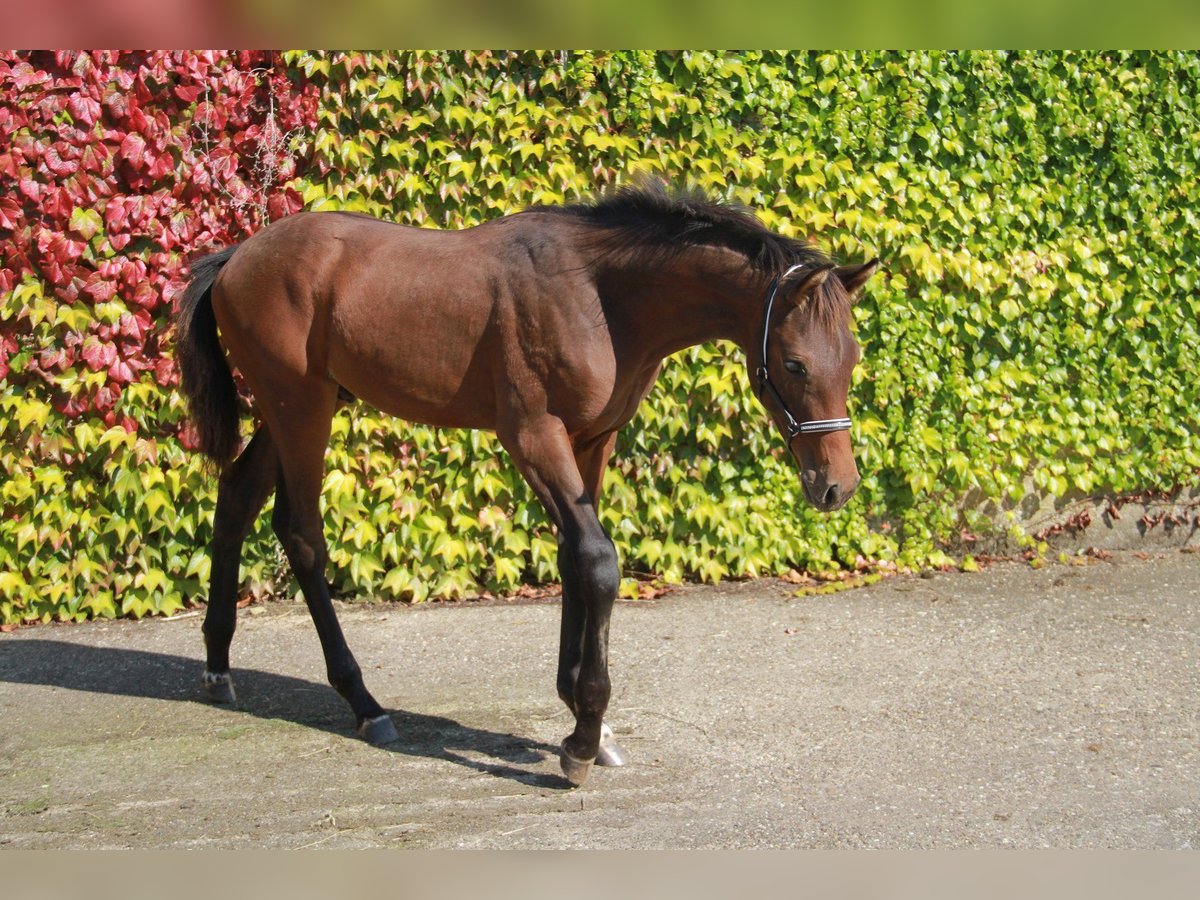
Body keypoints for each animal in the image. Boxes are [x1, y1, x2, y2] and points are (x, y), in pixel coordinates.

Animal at [174, 184, 878, 787]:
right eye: (795, 364)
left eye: (852, 358)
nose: (835, 486)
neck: (598, 296)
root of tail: (236, 257)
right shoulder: (533, 435)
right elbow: (597, 561)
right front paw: (583, 737)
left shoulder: (592, 441)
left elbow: (575, 560)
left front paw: (582, 716)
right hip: (302, 409)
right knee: (302, 536)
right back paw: (365, 703)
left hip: (292, 411)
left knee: (235, 499)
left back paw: (217, 668)